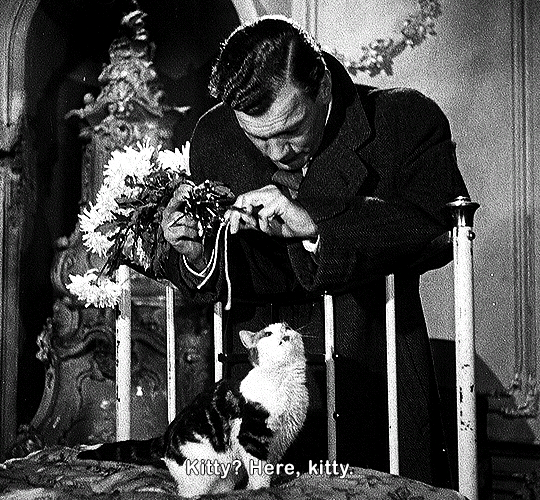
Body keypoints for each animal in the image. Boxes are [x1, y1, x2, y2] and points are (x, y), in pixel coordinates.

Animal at [78, 322, 308, 497]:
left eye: (286, 325)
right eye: (268, 333)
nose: (285, 328)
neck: (285, 379)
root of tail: (165, 437)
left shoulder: (281, 440)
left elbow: (269, 466)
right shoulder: (252, 436)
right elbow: (259, 471)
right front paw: (260, 491)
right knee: (187, 494)